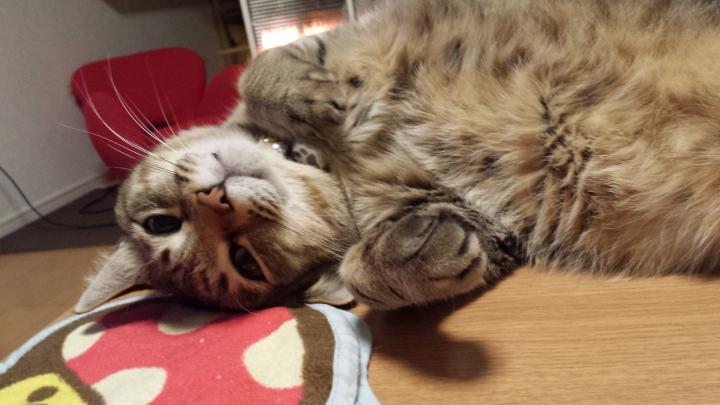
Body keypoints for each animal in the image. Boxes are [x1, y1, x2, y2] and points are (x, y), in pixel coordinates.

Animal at [77, 0, 720, 313]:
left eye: (160, 223)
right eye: (246, 266)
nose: (213, 196)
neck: (335, 160)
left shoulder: (346, 37)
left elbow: (262, 67)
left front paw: (308, 94)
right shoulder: (481, 222)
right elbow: (366, 273)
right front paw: (405, 253)